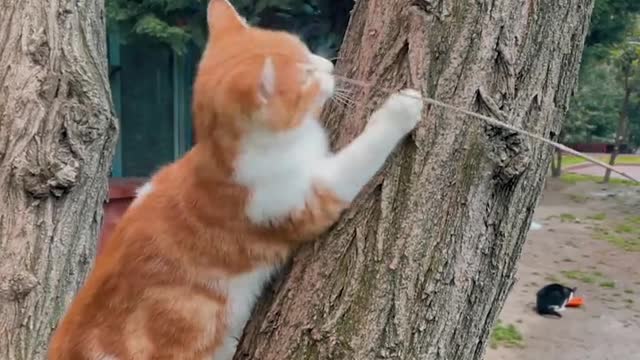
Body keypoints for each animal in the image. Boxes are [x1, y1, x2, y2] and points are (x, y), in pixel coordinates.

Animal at [47, 1, 422, 358]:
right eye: (306, 76)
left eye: (306, 49)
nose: (329, 67)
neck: (222, 158)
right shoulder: (304, 200)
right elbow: (360, 157)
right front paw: (400, 110)